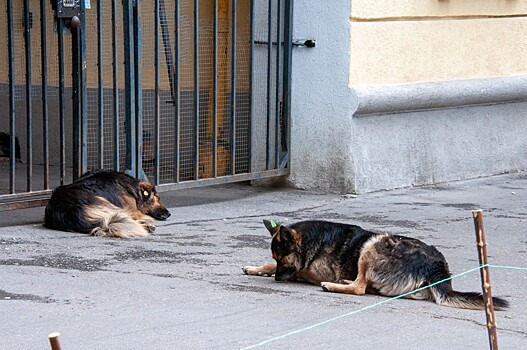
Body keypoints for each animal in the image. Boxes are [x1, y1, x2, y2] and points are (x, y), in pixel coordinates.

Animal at [242, 220, 508, 310]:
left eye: (282, 259)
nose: (278, 279)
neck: (312, 240)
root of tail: (437, 267)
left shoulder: (310, 270)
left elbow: (300, 271)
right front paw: (256, 269)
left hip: (374, 243)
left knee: (360, 287)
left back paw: (334, 285)